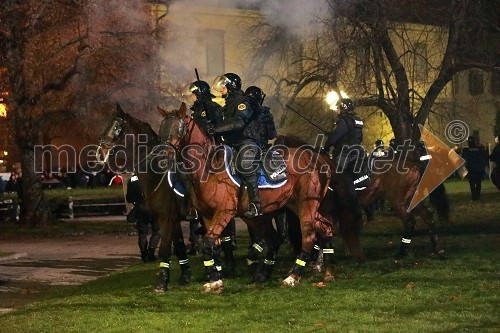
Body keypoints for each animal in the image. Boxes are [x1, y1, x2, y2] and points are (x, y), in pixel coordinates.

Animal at [96, 104, 191, 290]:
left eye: (117, 127)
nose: (100, 151)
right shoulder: (173, 219)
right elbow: (179, 247)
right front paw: (185, 277)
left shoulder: (166, 219)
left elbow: (164, 248)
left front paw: (162, 281)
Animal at [158, 102, 334, 292]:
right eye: (162, 128)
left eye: (179, 128)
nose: (163, 155)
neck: (208, 168)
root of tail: (318, 158)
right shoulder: (207, 215)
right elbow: (213, 245)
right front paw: (214, 279)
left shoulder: (224, 212)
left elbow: (208, 242)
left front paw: (215, 280)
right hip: (286, 208)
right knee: (322, 228)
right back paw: (325, 272)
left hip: (306, 206)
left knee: (308, 237)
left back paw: (292, 277)